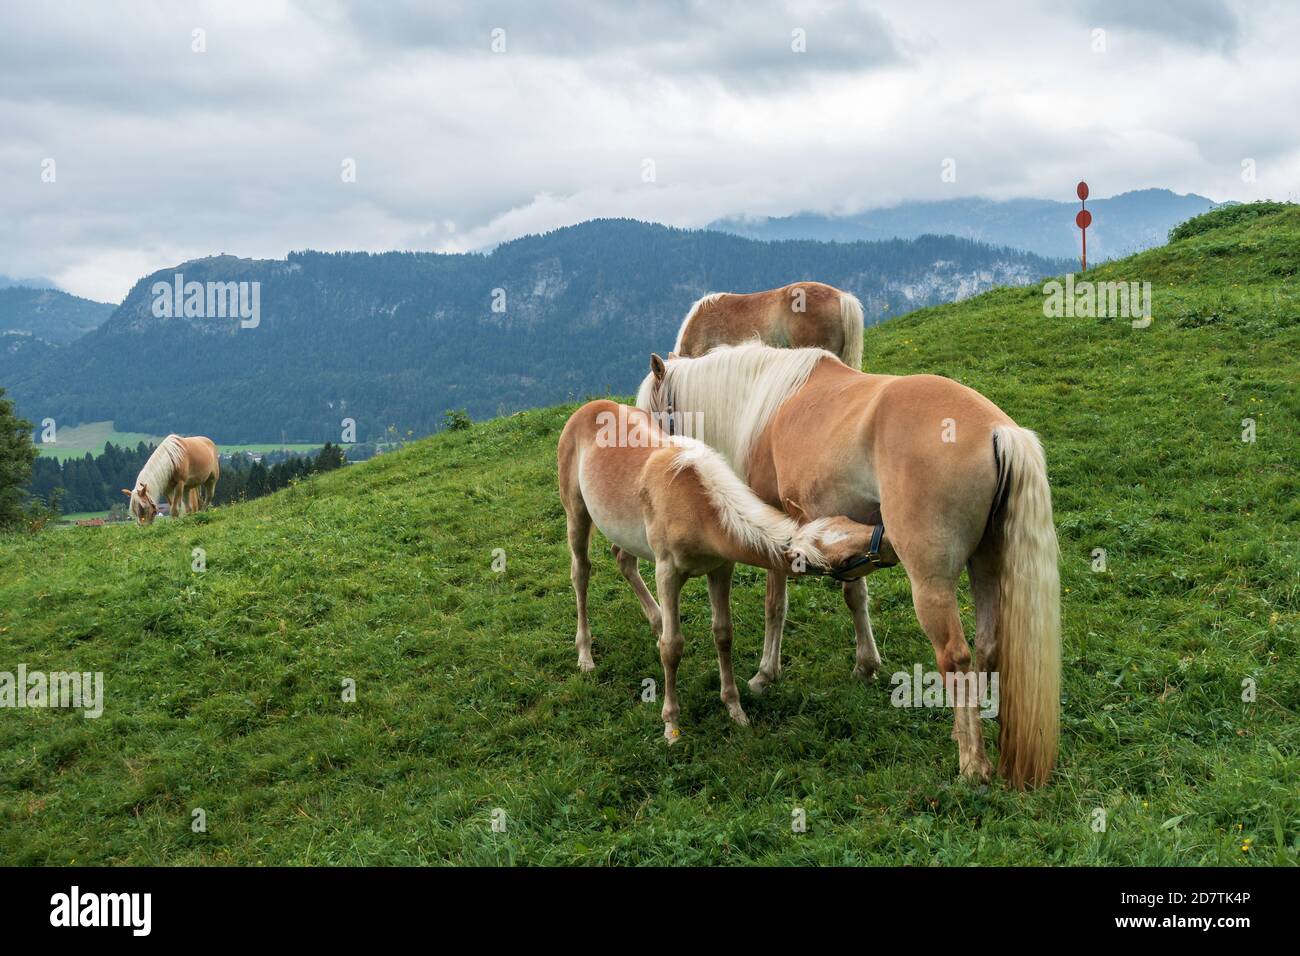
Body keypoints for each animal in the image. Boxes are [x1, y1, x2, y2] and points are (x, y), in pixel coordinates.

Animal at [558, 399, 896, 742]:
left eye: (849, 522)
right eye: (846, 559)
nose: (890, 541)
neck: (697, 509)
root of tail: (589, 407)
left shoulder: (721, 568)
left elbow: (723, 633)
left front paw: (735, 708)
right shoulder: (667, 572)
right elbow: (672, 647)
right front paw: (671, 725)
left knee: (623, 559)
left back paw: (656, 620)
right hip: (576, 512)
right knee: (581, 572)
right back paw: (585, 654)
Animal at [641, 344, 1060, 787]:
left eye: (651, 415)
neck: (762, 401)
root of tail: (997, 431)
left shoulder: (774, 527)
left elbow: (775, 606)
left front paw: (765, 673)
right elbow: (855, 596)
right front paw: (866, 664)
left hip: (931, 582)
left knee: (955, 656)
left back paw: (972, 763)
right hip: (986, 568)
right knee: (986, 647)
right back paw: (964, 728)